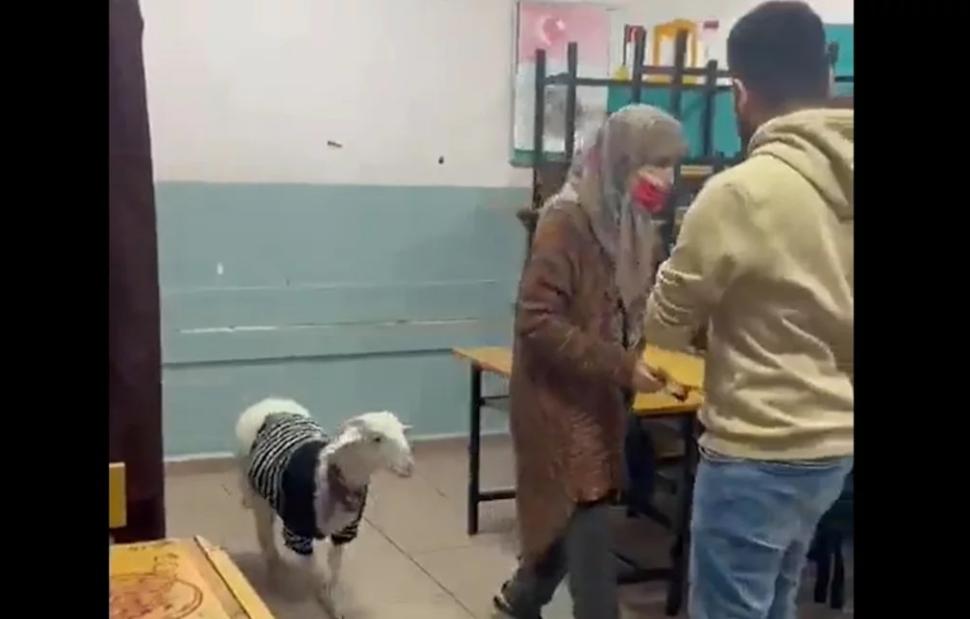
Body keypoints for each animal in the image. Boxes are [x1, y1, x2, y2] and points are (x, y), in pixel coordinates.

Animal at [235, 397, 414, 616]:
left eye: (402, 432)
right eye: (377, 438)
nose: (409, 467)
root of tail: (270, 401)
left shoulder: (345, 531)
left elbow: (334, 569)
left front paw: (332, 603)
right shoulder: (298, 533)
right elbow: (311, 567)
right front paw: (312, 594)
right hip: (252, 485)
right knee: (263, 531)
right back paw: (274, 570)